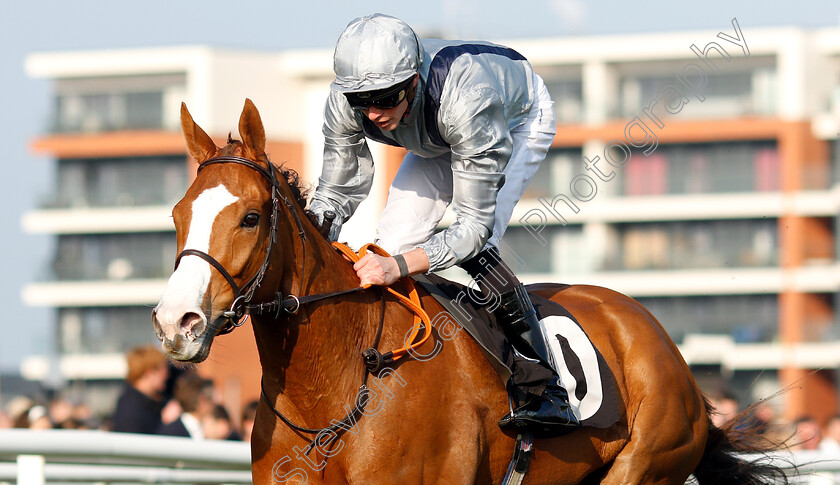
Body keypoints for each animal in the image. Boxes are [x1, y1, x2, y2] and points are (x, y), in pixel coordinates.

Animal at [153, 99, 788, 484]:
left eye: (251, 218)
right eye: (178, 213)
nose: (176, 322)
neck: (336, 384)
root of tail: (659, 339)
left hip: (644, 464)